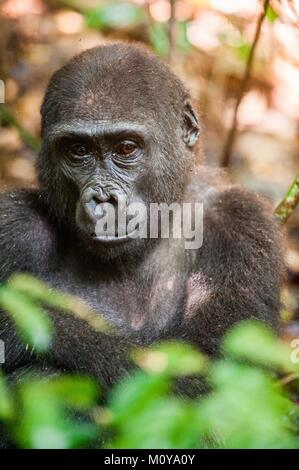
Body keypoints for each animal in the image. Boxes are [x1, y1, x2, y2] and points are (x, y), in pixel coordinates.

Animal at [0, 43, 284, 390]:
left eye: (125, 148)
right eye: (78, 150)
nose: (103, 199)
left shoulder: (241, 223)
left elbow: (219, 377)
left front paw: (8, 327)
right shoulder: (12, 226)